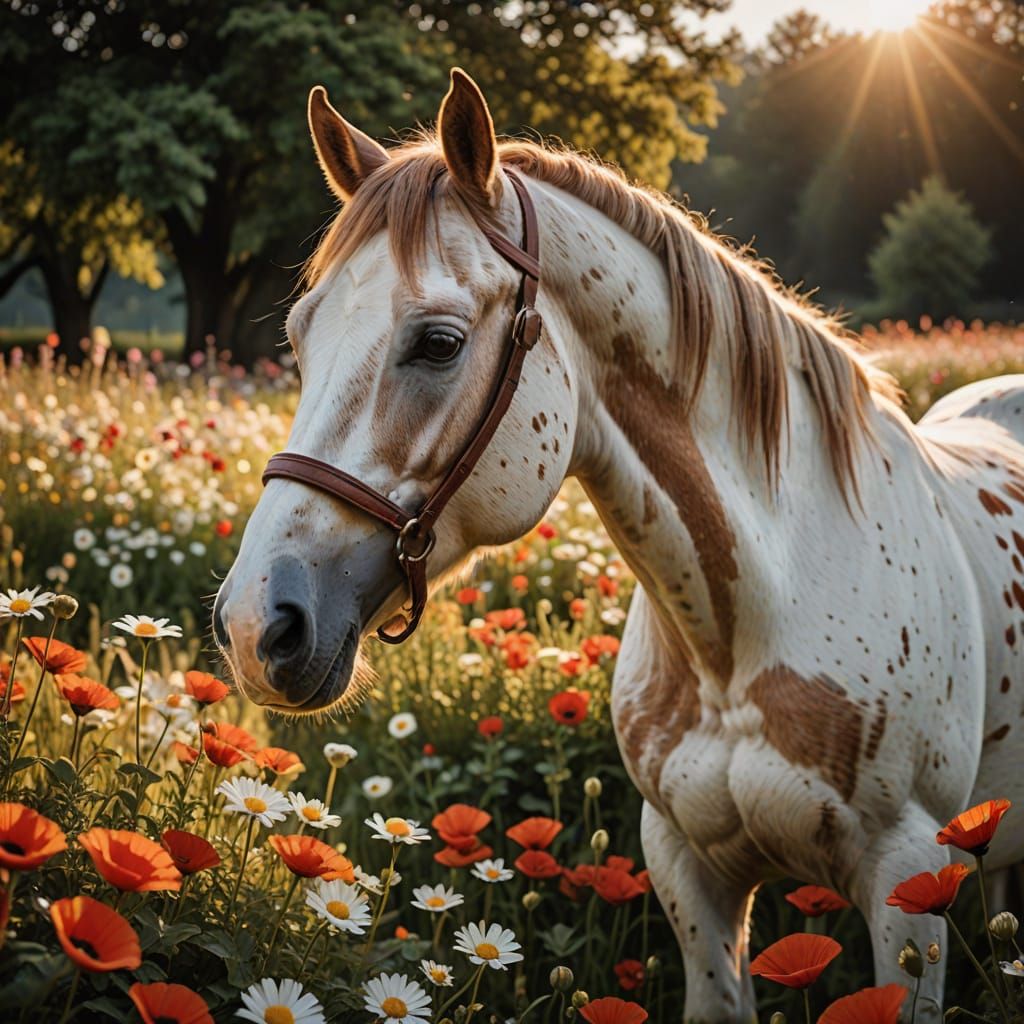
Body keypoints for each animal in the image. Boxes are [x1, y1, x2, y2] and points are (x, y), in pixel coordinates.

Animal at [213, 69, 1024, 1021]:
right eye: (298, 338)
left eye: (439, 343)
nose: (255, 626)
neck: (746, 624)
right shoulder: (685, 866)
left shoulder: (911, 881)